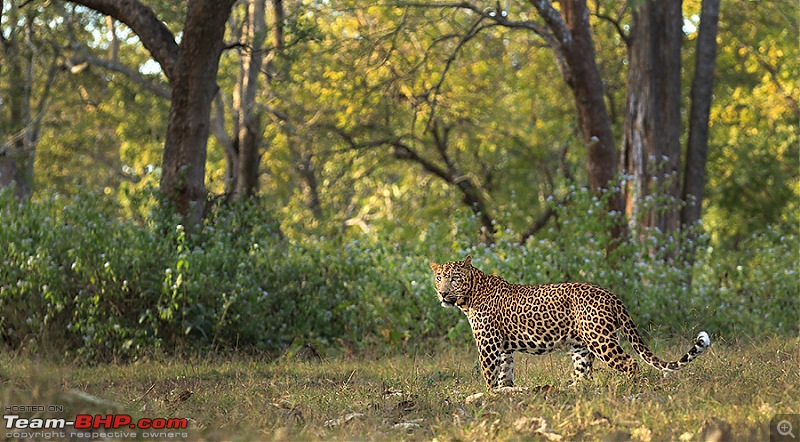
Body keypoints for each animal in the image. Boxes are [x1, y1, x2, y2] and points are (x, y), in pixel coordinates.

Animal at [432, 256, 712, 390]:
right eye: (438, 278)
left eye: (454, 278)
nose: (443, 293)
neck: (469, 296)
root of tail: (611, 294)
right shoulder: (504, 347)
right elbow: (505, 373)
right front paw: (505, 392)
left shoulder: (488, 343)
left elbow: (488, 373)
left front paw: (489, 394)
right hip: (581, 347)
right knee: (584, 375)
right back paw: (573, 390)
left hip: (600, 339)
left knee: (630, 363)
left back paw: (627, 389)